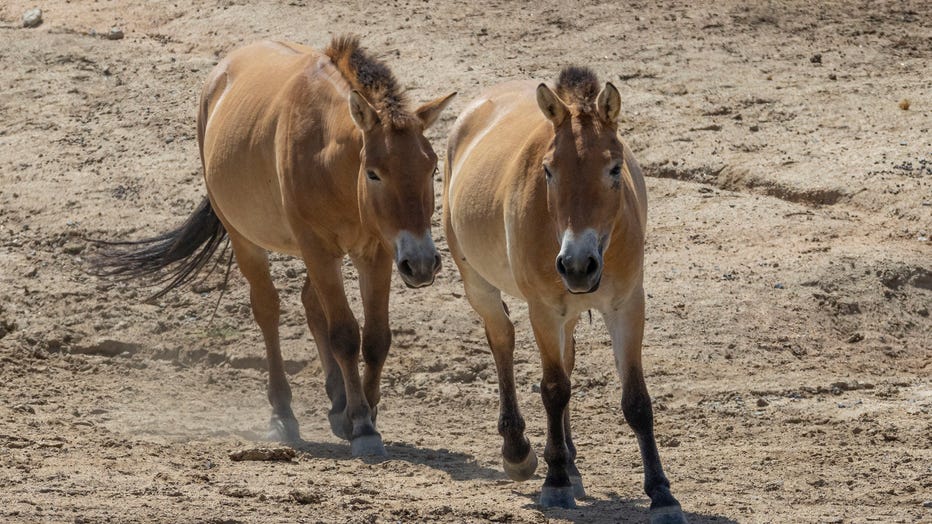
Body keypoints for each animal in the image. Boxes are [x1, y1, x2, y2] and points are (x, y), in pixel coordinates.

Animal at [97, 36, 456, 456]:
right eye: (374, 173)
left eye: (432, 168)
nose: (422, 263)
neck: (327, 155)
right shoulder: (319, 249)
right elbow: (345, 335)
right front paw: (363, 425)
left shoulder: (376, 252)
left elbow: (376, 339)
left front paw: (363, 411)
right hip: (247, 240)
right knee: (268, 310)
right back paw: (284, 414)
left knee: (311, 305)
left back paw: (337, 401)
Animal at [440, 67, 688, 520]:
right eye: (549, 170)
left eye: (614, 168)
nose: (576, 265)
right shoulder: (544, 309)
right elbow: (553, 389)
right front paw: (554, 483)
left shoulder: (628, 306)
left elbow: (637, 401)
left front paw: (661, 493)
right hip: (478, 284)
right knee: (502, 339)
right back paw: (519, 451)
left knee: (566, 359)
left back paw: (570, 462)